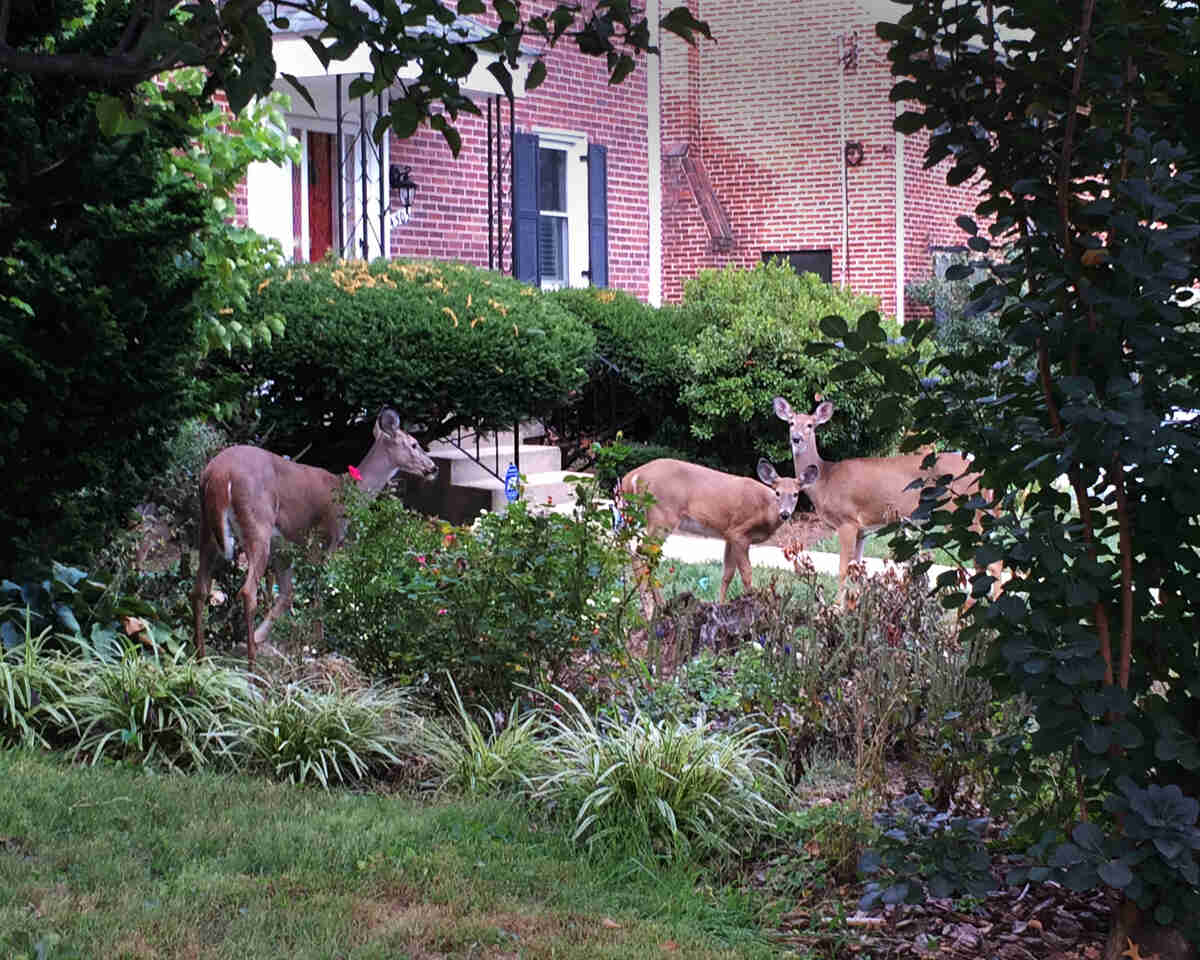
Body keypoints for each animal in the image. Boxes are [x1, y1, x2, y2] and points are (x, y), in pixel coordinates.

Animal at [192, 405, 441, 667]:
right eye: (414, 444)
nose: (434, 468)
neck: (348, 491)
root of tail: (219, 474)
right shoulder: (323, 540)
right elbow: (317, 591)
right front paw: (317, 645)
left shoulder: (285, 547)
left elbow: (288, 594)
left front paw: (261, 638)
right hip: (257, 524)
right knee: (248, 591)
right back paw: (251, 666)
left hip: (207, 528)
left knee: (199, 589)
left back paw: (201, 659)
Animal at [619, 458, 825, 614]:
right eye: (777, 492)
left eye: (796, 494)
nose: (785, 514)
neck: (764, 510)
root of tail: (631, 478)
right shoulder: (739, 533)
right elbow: (746, 572)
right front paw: (754, 602)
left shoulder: (728, 534)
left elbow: (727, 574)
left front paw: (721, 605)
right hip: (661, 516)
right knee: (640, 553)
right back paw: (650, 609)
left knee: (641, 554)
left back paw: (658, 606)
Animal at [768, 396, 993, 600]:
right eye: (790, 423)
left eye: (810, 425)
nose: (796, 438)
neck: (825, 480)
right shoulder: (861, 530)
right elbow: (856, 570)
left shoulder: (847, 521)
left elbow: (843, 569)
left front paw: (836, 609)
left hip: (964, 510)